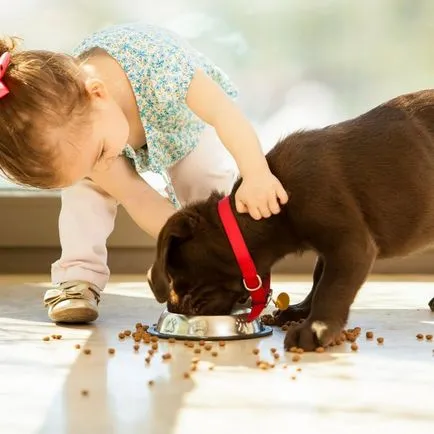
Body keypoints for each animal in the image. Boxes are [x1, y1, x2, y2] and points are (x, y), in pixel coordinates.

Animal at [147, 90, 434, 350]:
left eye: (175, 274)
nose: (172, 306)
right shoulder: (329, 248)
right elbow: (318, 277)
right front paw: (301, 311)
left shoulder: (351, 245)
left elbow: (331, 287)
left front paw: (315, 328)